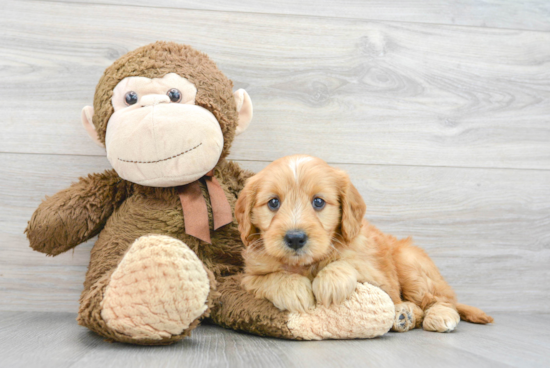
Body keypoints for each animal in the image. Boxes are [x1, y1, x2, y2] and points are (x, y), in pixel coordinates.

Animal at [235, 154, 494, 332]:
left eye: (318, 202)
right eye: (273, 203)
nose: (295, 238)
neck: (305, 265)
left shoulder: (374, 271)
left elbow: (348, 262)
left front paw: (331, 281)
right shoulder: (249, 276)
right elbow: (269, 278)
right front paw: (294, 289)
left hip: (411, 263)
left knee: (440, 300)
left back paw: (438, 316)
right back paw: (404, 315)